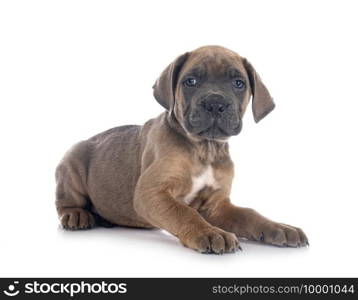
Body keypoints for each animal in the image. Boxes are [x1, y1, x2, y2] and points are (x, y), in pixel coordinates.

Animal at [55, 45, 308, 253]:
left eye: (239, 83)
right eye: (191, 81)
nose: (215, 103)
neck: (206, 149)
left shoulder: (216, 206)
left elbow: (249, 214)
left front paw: (279, 227)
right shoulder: (151, 192)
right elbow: (185, 212)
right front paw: (209, 232)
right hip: (72, 160)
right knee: (65, 201)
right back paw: (76, 215)